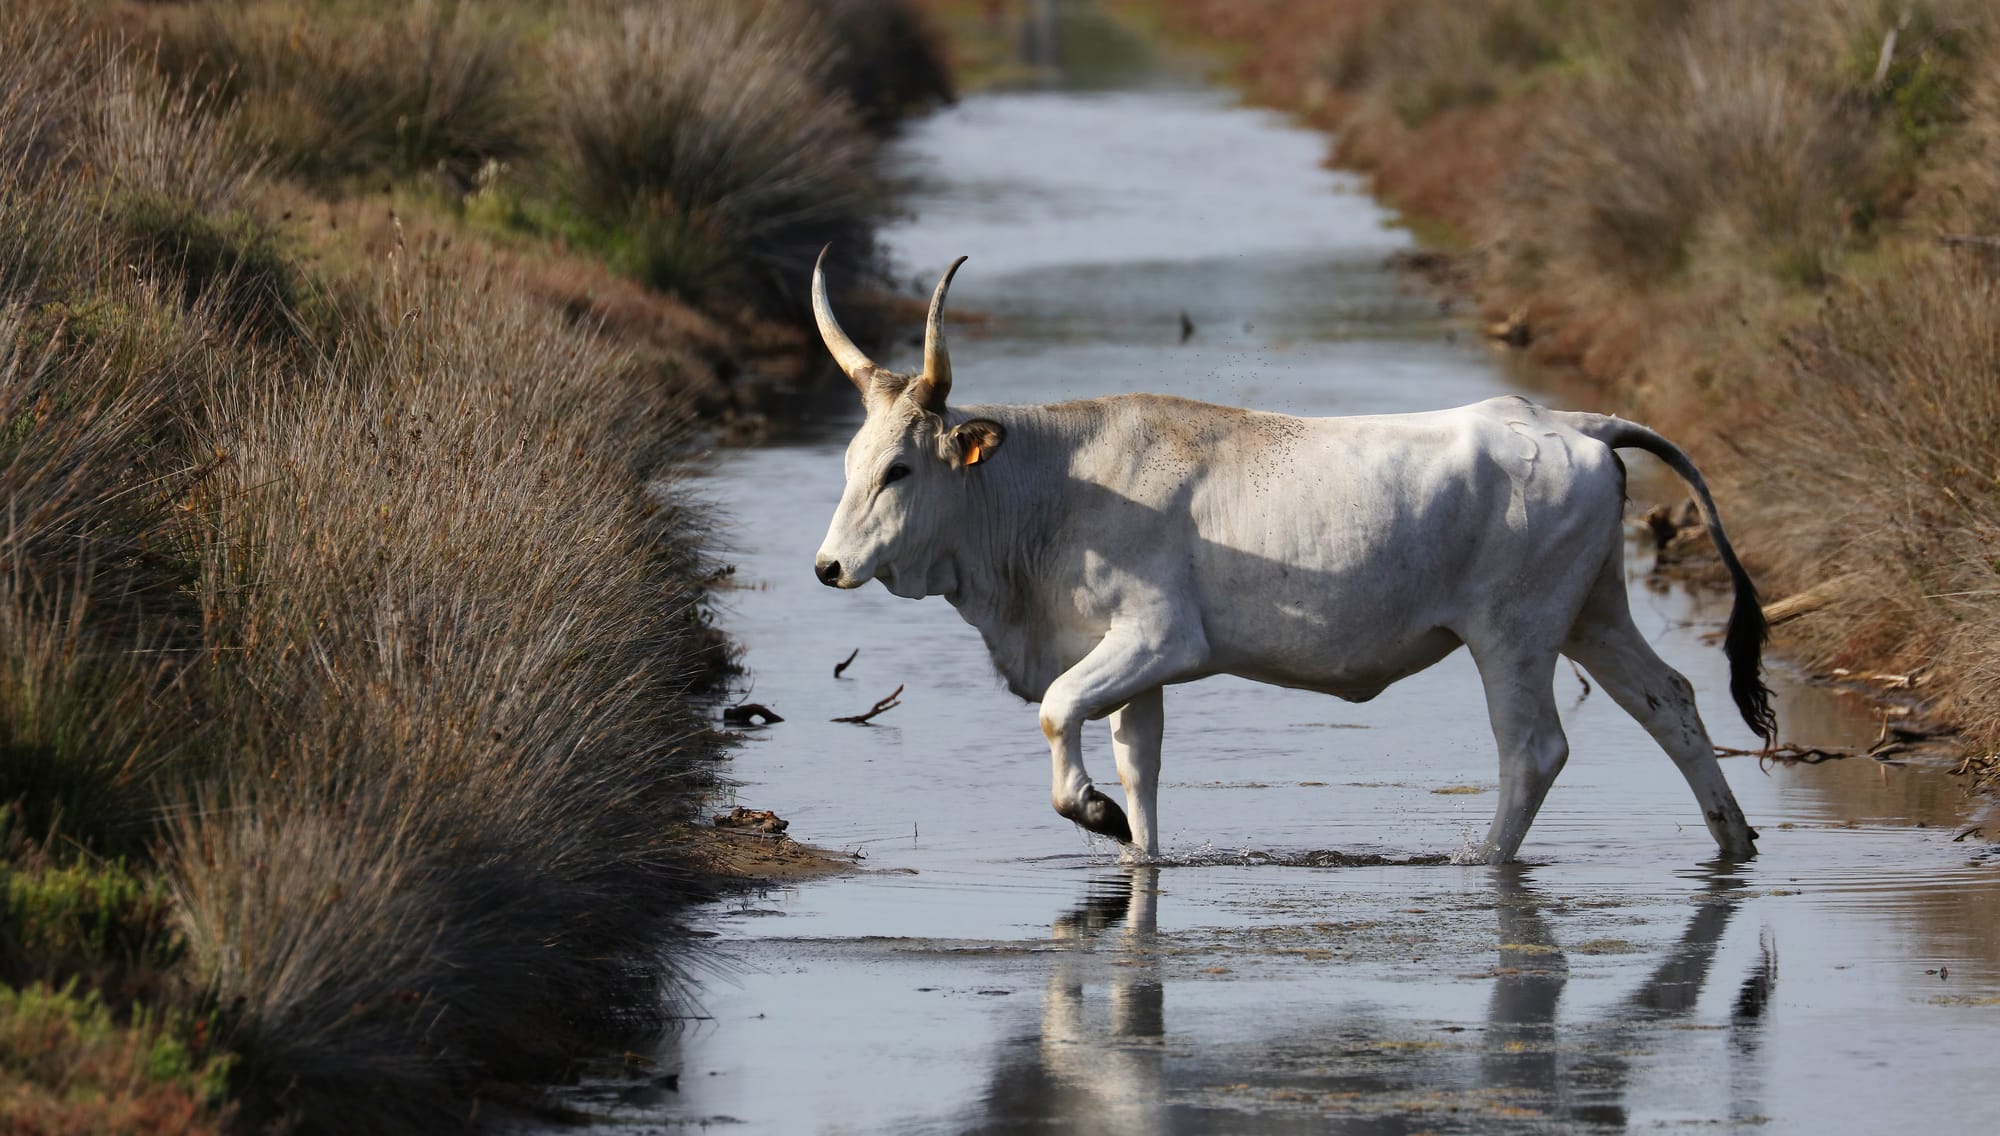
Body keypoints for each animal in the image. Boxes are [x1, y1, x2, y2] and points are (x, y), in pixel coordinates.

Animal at [804, 255, 1776, 860]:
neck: (1051, 486)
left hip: (1516, 633)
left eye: (899, 468)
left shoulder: (1159, 639)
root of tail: (1568, 421)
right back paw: (1733, 839)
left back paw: (1482, 862)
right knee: (1672, 703)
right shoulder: (1131, 664)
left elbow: (1055, 710)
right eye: (850, 464)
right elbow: (1138, 764)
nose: (828, 569)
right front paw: (1135, 846)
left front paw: (1092, 812)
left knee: (1533, 749)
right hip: (1594, 614)